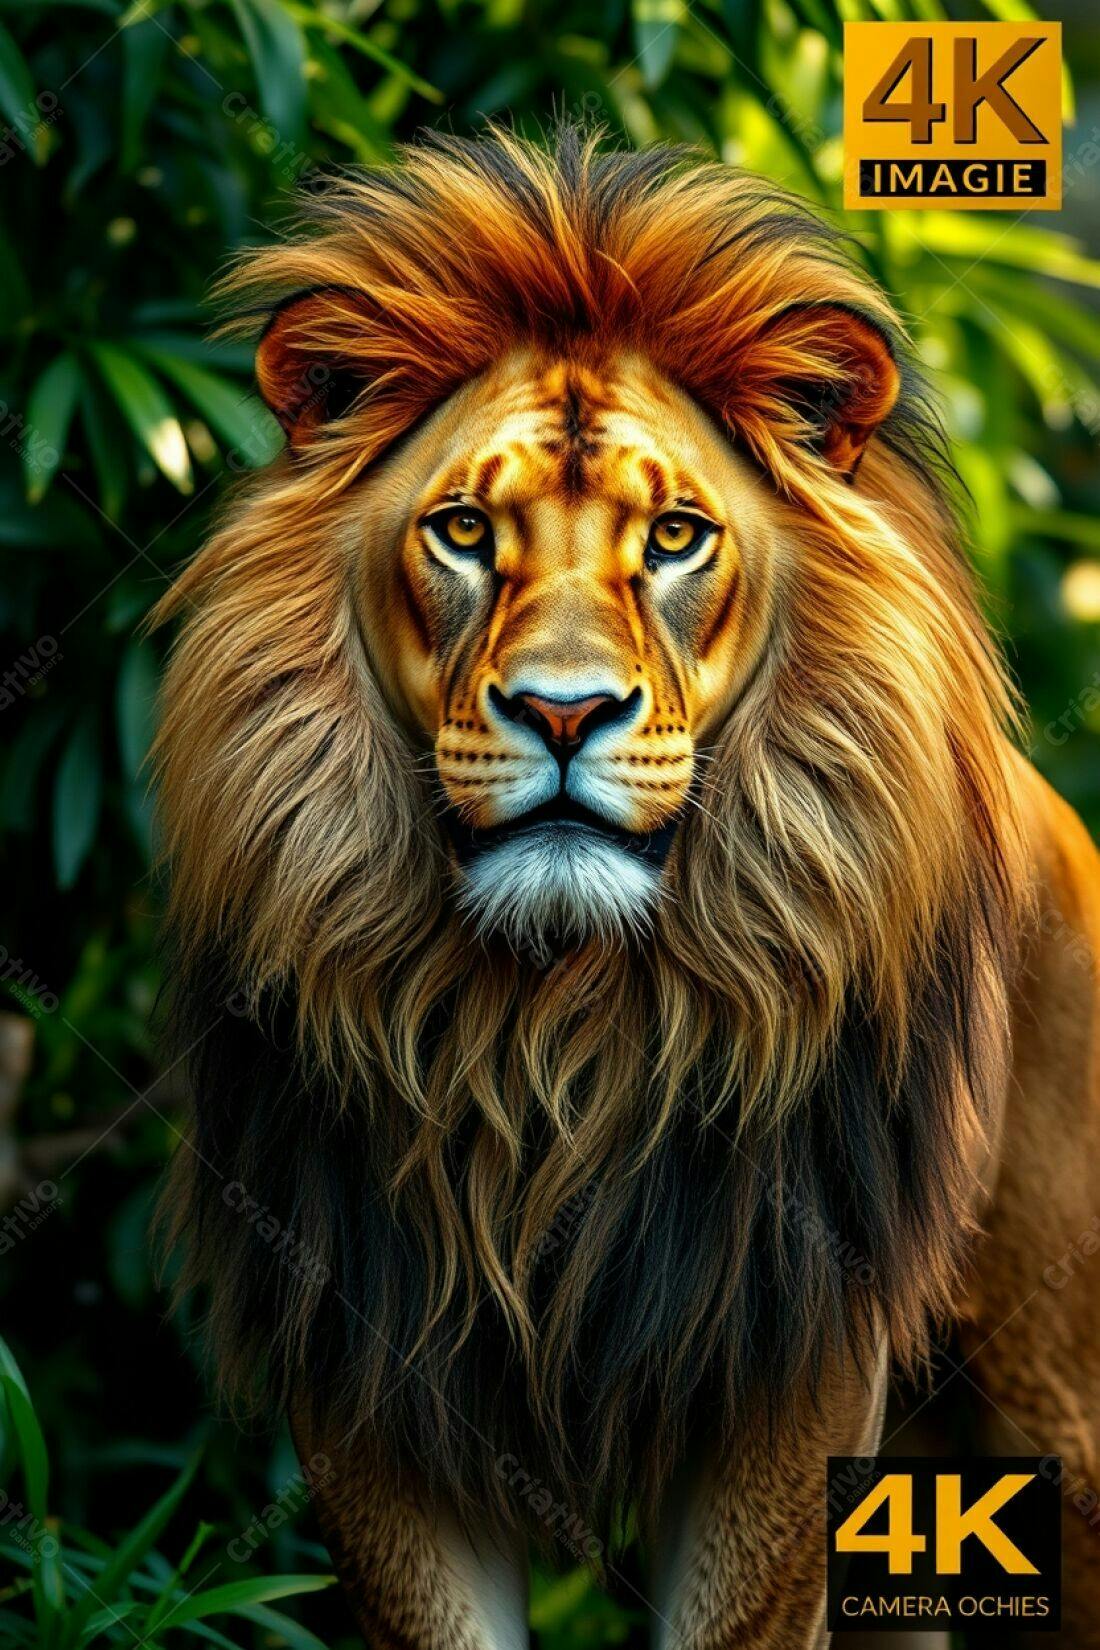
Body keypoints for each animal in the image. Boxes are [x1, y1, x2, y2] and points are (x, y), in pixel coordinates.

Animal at [153, 126, 1100, 1649]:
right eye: (463, 531)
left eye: (673, 540)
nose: (562, 711)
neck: (549, 1028)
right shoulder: (370, 1373)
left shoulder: (787, 1374)